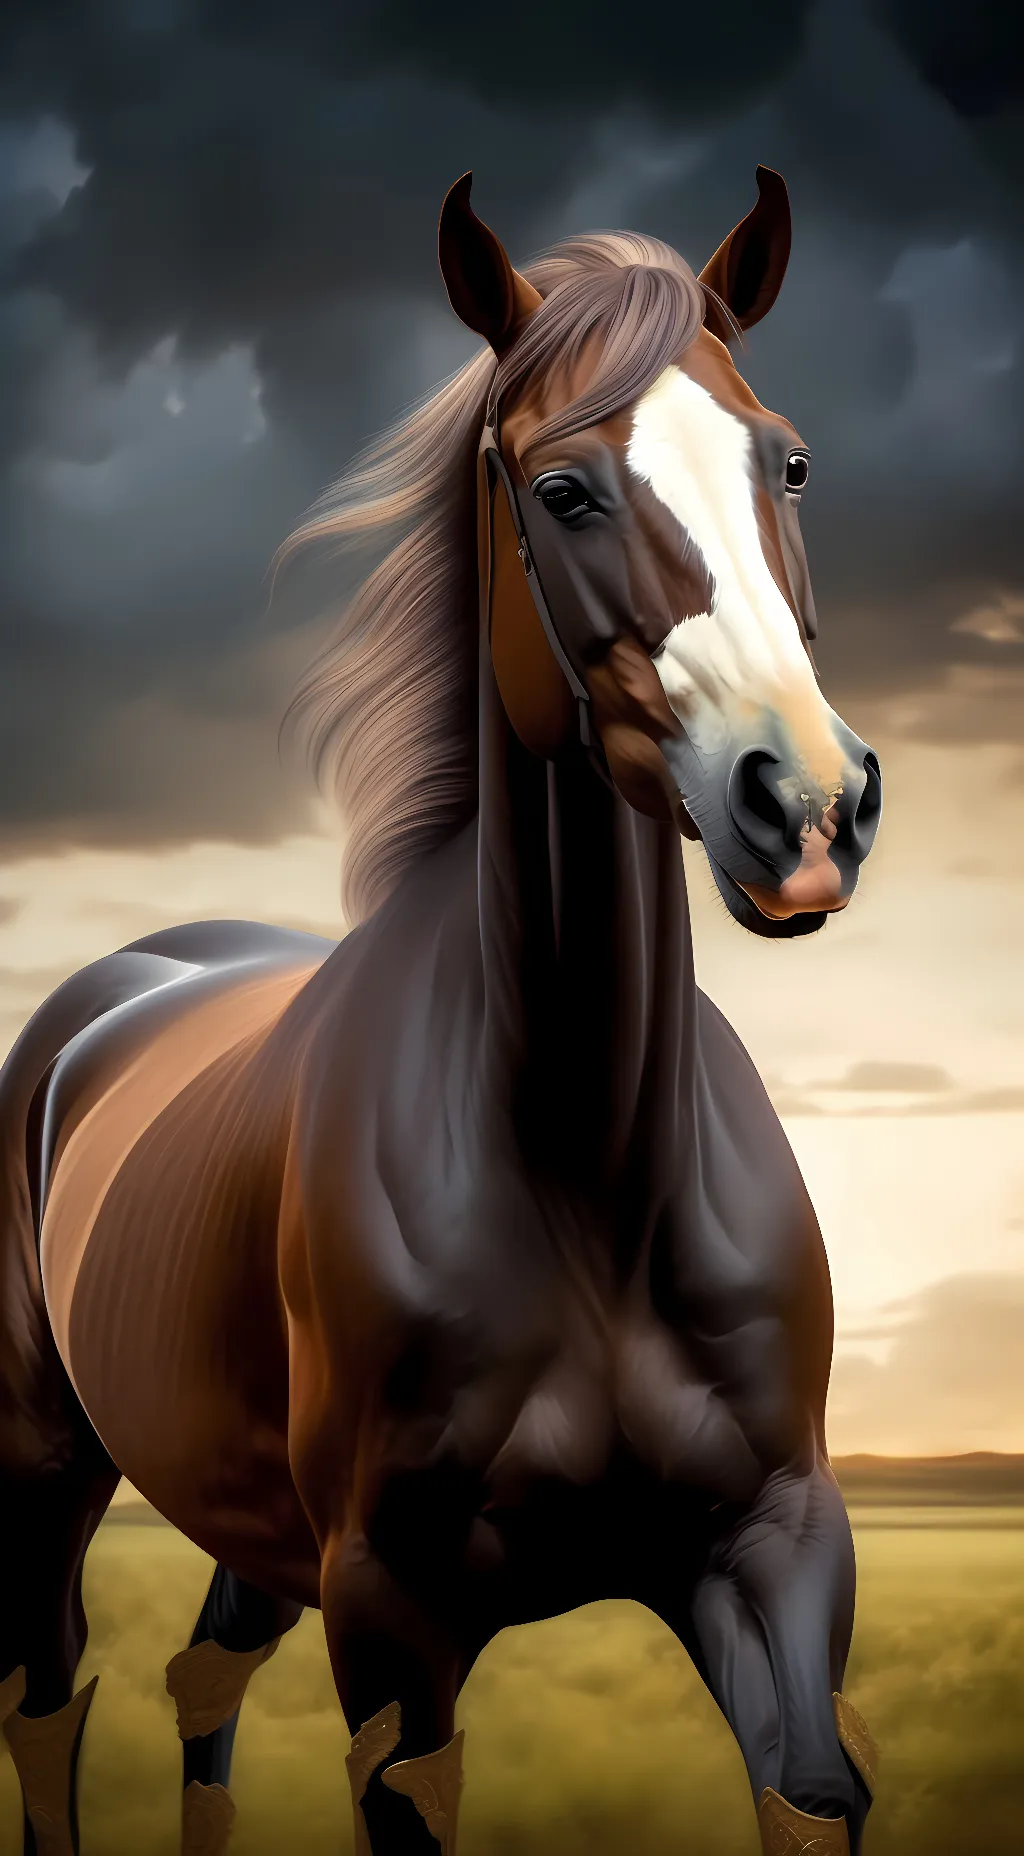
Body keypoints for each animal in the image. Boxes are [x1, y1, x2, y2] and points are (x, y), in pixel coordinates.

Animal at [0, 166, 883, 1856]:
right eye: (563, 491)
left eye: (789, 462)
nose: (807, 808)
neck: (588, 1178)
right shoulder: (392, 1612)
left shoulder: (776, 1547)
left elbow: (809, 1788)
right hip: (45, 1459)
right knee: (42, 1701)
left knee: (198, 1687)